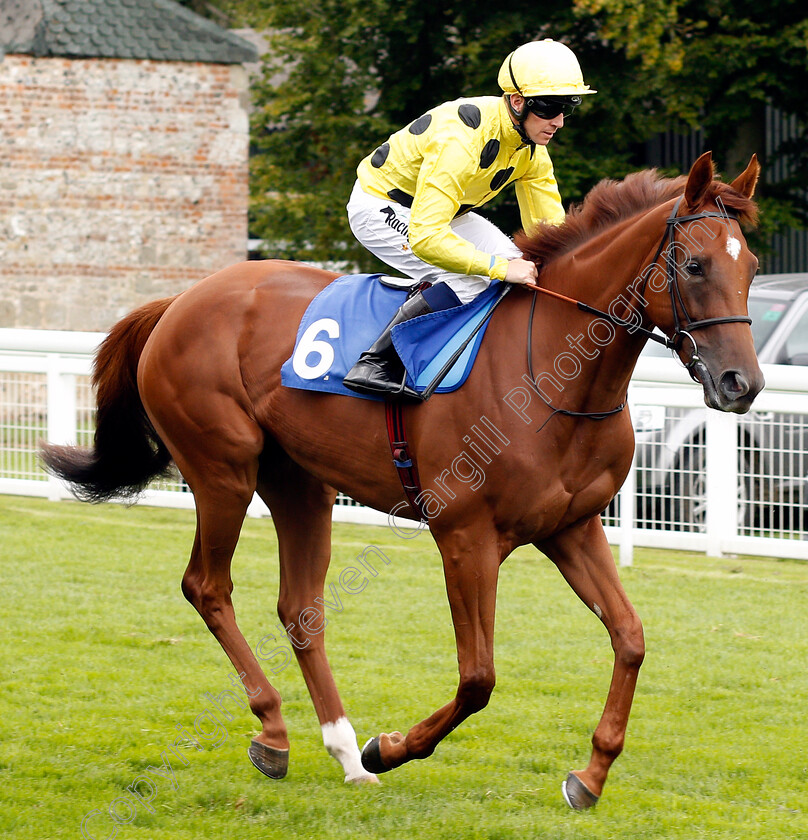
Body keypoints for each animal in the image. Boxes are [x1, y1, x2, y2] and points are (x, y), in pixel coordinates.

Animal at [42, 151, 764, 808]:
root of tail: (179, 301)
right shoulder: (465, 536)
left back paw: (339, 748)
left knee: (299, 608)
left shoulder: (572, 528)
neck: (552, 375)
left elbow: (631, 638)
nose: (743, 383)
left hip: (300, 483)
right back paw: (277, 732)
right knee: (208, 587)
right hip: (223, 469)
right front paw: (388, 749)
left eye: (751, 267)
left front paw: (590, 775)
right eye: (694, 265)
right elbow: (478, 678)